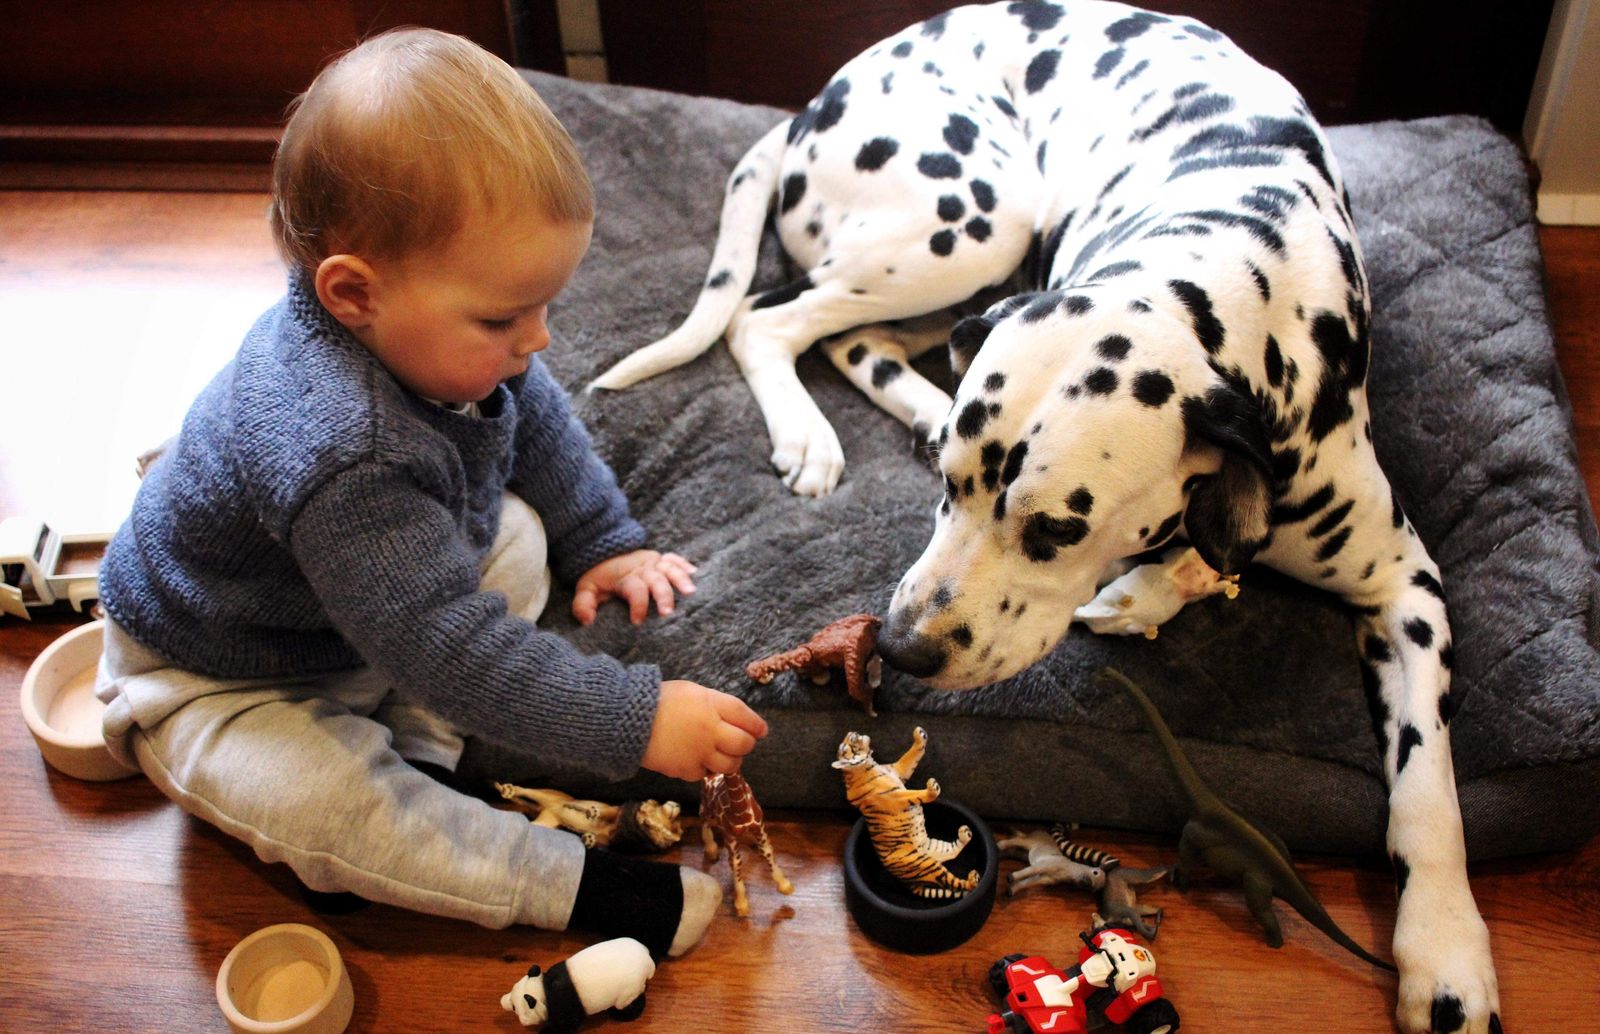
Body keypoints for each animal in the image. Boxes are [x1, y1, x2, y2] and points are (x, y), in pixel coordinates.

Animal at [592, 3, 1499, 1030]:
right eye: (949, 489)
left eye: (1057, 529)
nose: (900, 648)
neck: (1230, 279)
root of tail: (815, 100)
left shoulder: (1407, 585)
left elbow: (1430, 788)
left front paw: (1447, 951)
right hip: (973, 222)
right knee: (768, 317)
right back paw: (814, 434)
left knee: (844, 337)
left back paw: (911, 406)